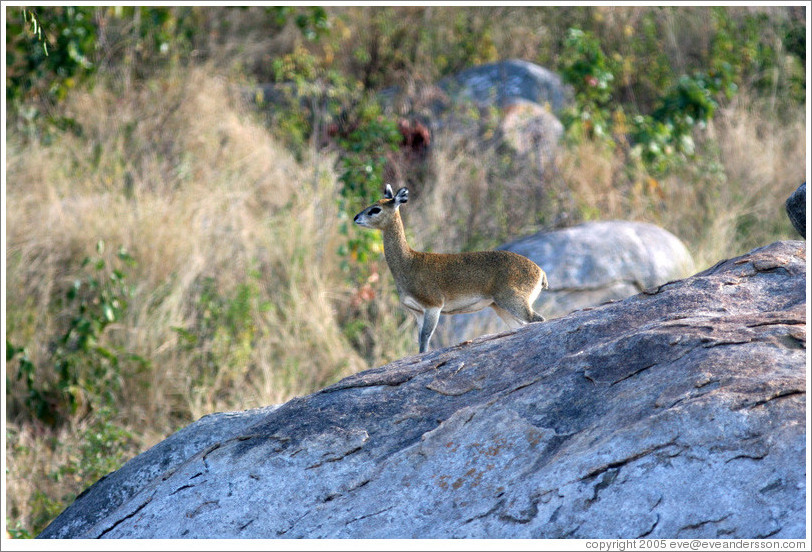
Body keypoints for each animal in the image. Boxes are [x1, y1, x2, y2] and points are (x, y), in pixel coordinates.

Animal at [354, 185, 548, 353]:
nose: (356, 218)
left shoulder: (433, 306)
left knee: (538, 319)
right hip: (499, 307)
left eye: (375, 209)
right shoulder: (417, 312)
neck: (409, 262)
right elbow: (420, 341)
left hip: (513, 301)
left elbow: (425, 340)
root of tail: (540, 272)